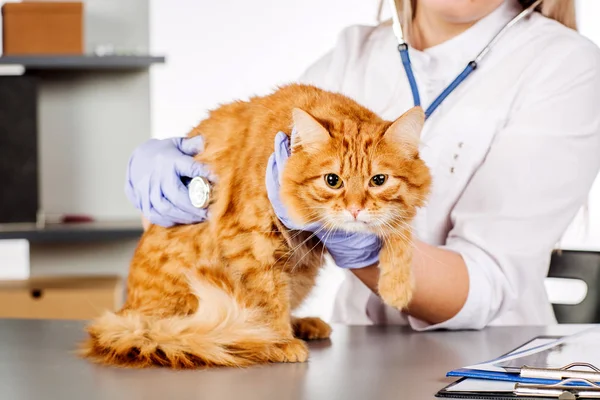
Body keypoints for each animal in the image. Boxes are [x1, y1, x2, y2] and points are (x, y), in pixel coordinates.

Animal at [83, 84, 432, 368]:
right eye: (332, 181)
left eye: (378, 180)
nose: (355, 209)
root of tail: (127, 317)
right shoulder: (250, 242)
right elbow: (268, 298)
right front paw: (278, 342)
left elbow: (400, 232)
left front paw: (397, 288)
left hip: (303, 274)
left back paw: (304, 324)